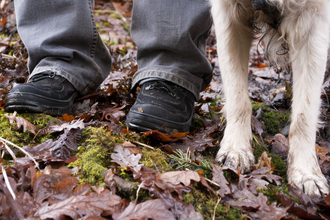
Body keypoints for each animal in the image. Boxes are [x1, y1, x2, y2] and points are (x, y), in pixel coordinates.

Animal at [210, 0, 328, 196]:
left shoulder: (313, 21)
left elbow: (305, 114)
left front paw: (306, 174)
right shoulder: (227, 14)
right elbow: (238, 98)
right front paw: (236, 149)